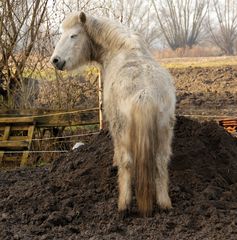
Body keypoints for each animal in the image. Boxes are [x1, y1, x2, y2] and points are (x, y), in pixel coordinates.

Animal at [50, 12, 176, 217]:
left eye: (73, 35)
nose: (55, 60)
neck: (122, 48)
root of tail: (145, 94)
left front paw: (114, 163)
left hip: (124, 131)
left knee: (127, 163)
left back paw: (123, 205)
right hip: (164, 132)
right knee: (161, 161)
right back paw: (164, 203)